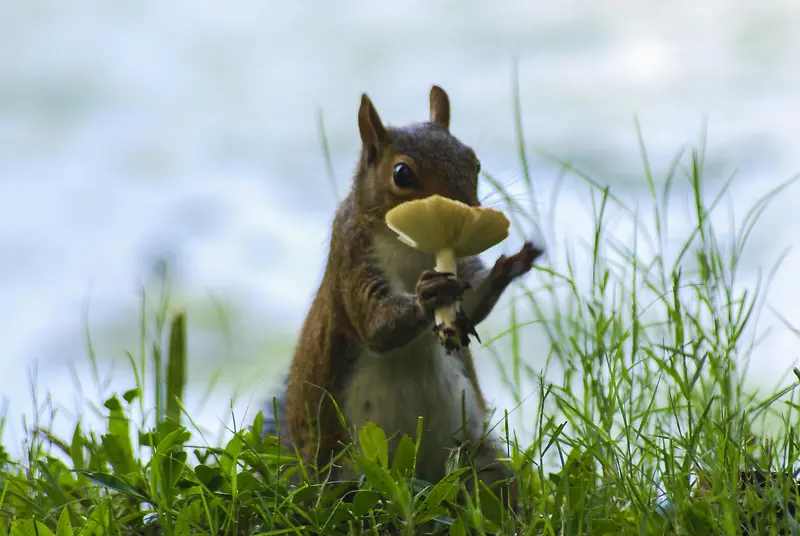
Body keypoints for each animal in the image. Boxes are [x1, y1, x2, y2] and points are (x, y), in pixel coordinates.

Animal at [262, 86, 544, 504]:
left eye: (474, 162)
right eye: (402, 173)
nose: (468, 210)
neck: (414, 250)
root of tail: (417, 482)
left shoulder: (460, 268)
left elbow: (470, 307)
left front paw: (507, 267)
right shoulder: (352, 261)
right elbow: (376, 325)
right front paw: (427, 295)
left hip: (478, 460)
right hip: (339, 472)